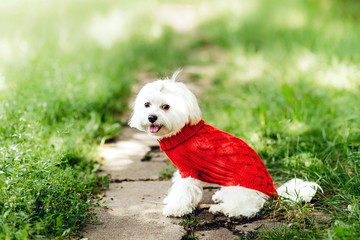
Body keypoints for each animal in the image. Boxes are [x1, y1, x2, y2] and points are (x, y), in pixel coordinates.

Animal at [130, 71, 324, 218]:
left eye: (166, 106)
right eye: (147, 104)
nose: (151, 117)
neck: (182, 132)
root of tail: (272, 192)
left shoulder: (189, 172)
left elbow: (183, 192)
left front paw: (175, 209)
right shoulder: (182, 170)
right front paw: (171, 201)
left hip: (239, 189)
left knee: (247, 209)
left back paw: (221, 208)